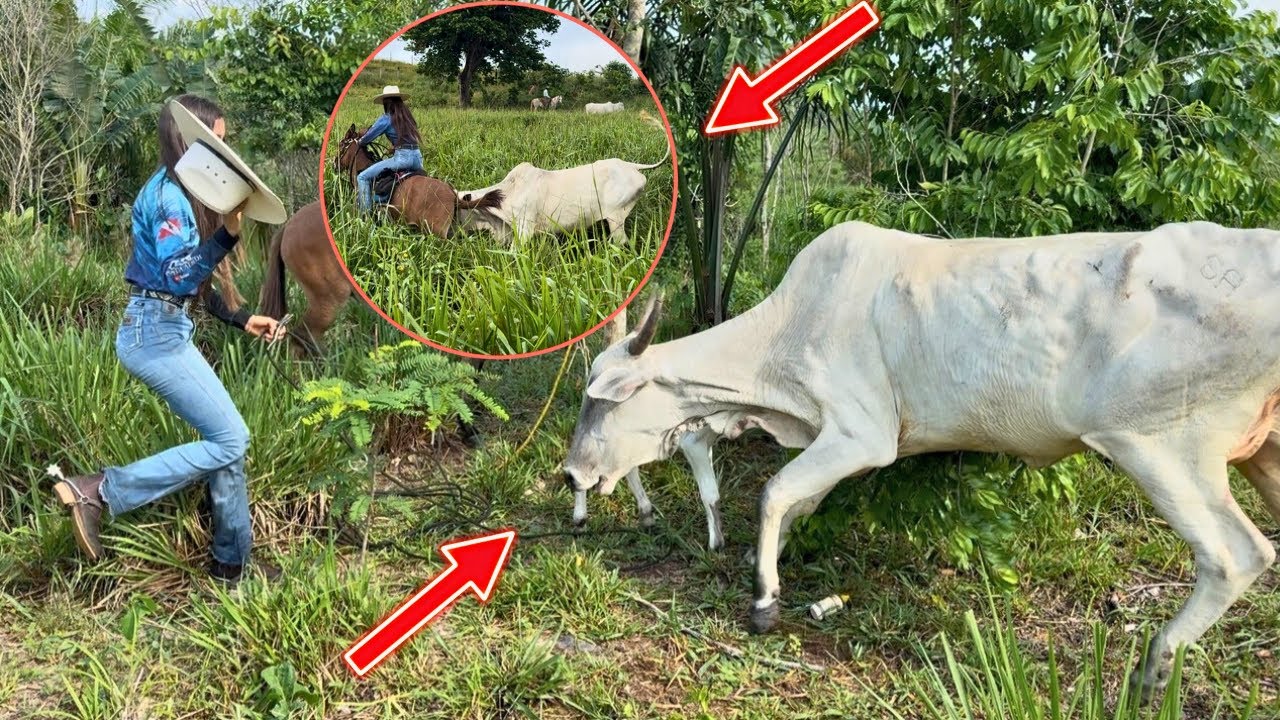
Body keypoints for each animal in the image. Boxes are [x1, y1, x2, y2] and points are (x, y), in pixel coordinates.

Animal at [562, 221, 1280, 699]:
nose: (571, 474)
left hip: (1159, 444)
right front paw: (764, 568)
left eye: (597, 403)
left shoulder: (862, 435)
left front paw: (764, 599)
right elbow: (795, 503)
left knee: (1237, 555)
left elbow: (774, 494)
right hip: (1259, 455)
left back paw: (1155, 666)